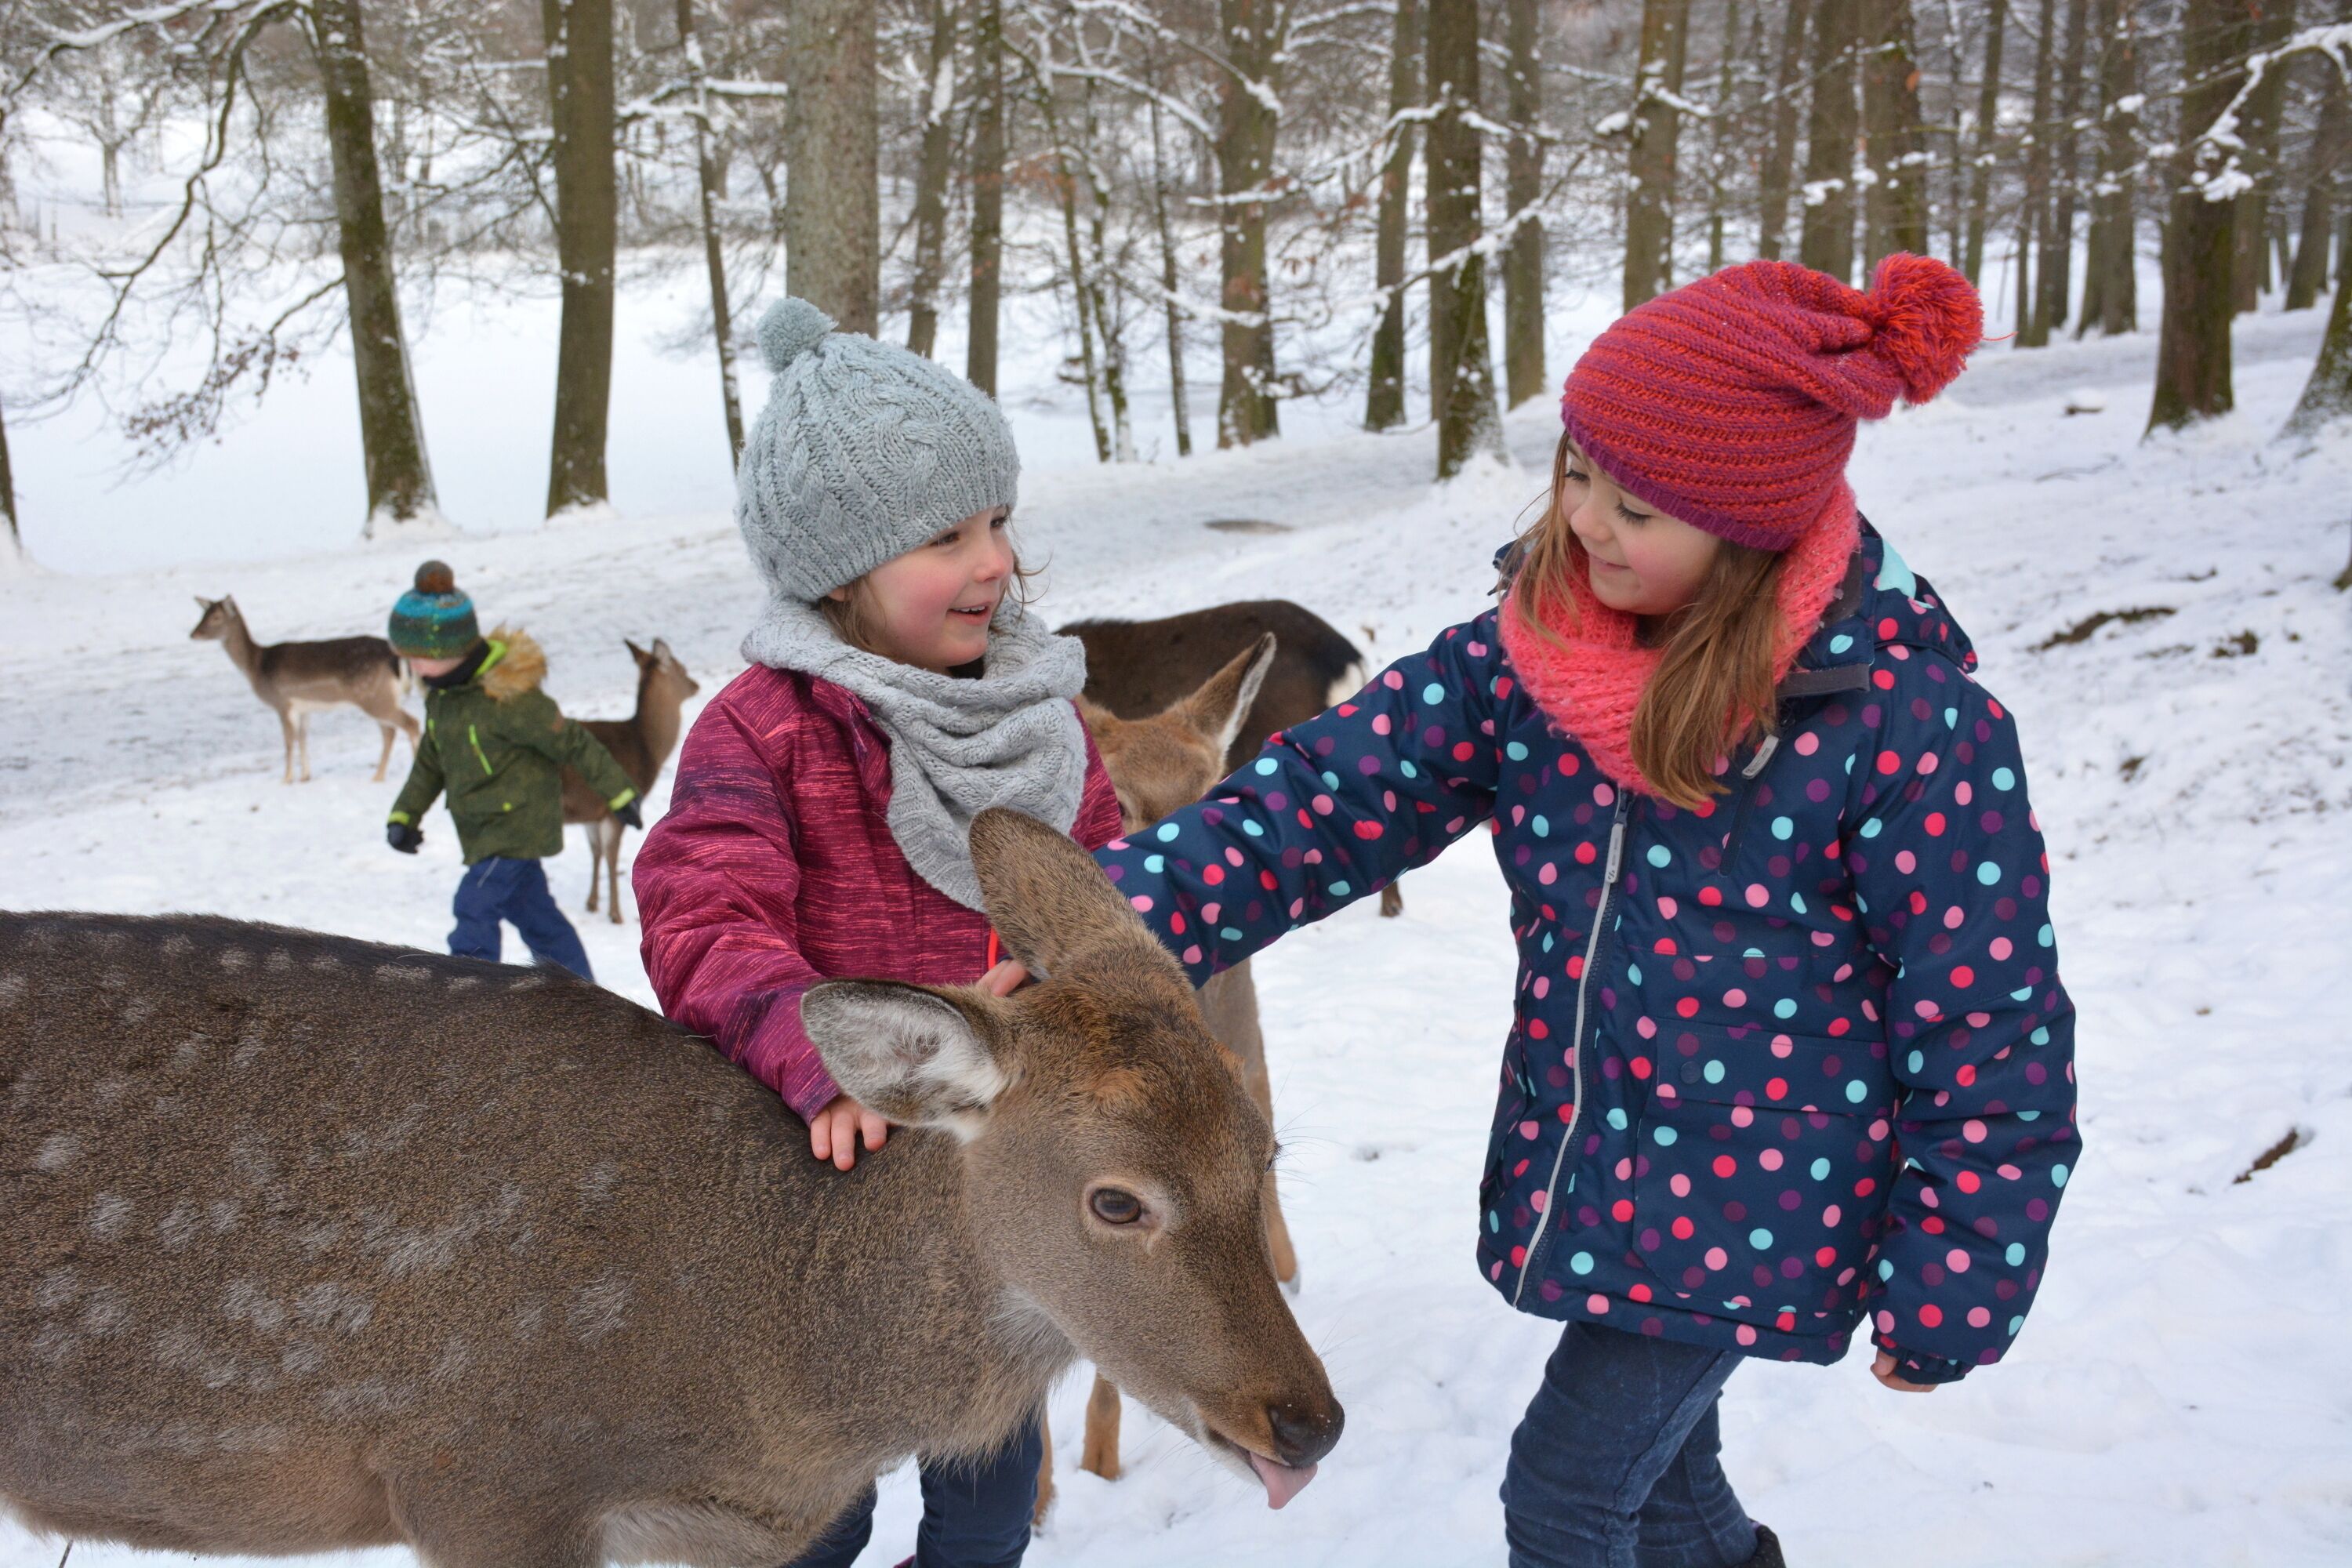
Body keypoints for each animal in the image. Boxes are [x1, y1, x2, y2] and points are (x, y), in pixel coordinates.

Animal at [189, 594, 420, 784]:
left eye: (216, 617)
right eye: (203, 614)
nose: (193, 634)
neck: (256, 666)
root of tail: (396, 658)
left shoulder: (282, 703)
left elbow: (288, 741)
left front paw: (286, 779)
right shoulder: (304, 709)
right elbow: (303, 738)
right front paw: (305, 776)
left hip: (374, 697)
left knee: (411, 724)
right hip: (379, 697)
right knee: (390, 731)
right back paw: (377, 776)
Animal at [560, 638, 702, 924]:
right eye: (681, 668)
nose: (695, 684)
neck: (646, 749)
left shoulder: (591, 813)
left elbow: (596, 851)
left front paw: (592, 903)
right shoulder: (617, 808)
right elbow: (612, 856)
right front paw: (616, 914)